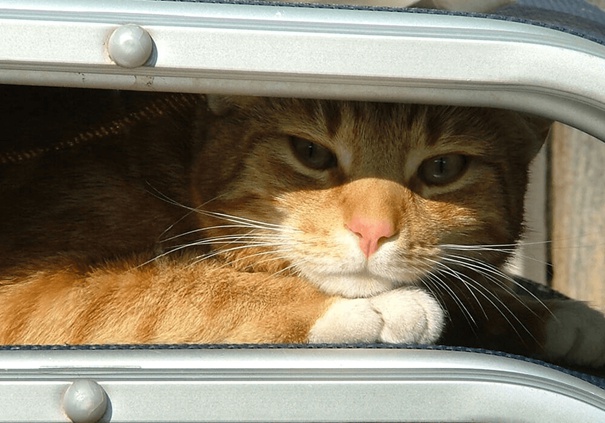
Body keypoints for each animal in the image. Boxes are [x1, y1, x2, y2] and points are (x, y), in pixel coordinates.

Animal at [1, 91, 604, 370]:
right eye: (311, 153)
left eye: (442, 168)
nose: (371, 231)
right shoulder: (30, 295)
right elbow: (169, 289)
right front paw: (369, 306)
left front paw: (551, 313)